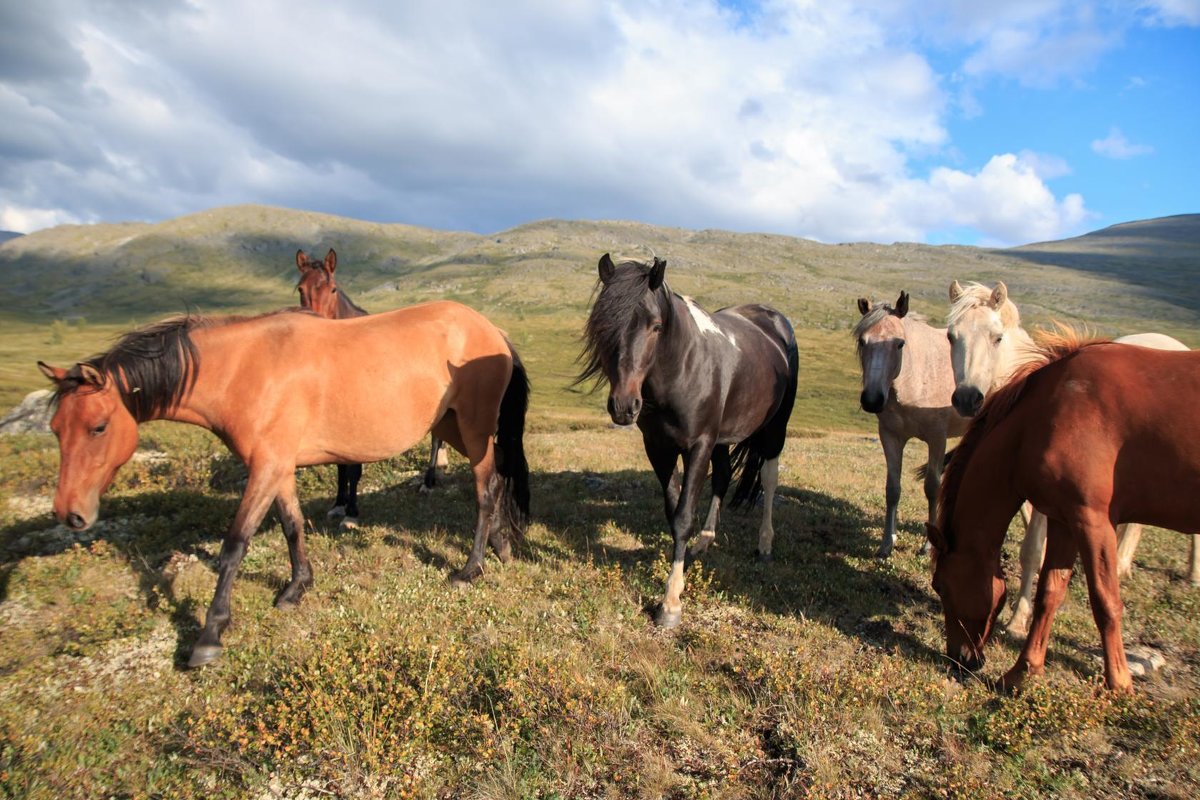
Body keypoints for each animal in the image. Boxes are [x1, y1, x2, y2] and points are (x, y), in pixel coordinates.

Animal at [39, 304, 528, 671]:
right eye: (56, 428)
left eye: (98, 426)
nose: (70, 513)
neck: (244, 370)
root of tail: (493, 331)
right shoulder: (279, 467)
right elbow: (292, 524)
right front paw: (297, 587)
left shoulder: (265, 467)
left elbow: (234, 545)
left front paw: (210, 633)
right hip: (453, 428)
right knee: (499, 480)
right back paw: (502, 546)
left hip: (473, 428)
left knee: (486, 490)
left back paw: (471, 568)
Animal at [296, 248, 451, 525]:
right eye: (300, 289)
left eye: (333, 289)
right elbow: (341, 465)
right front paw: (338, 504)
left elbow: (353, 469)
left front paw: (351, 512)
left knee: (436, 438)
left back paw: (429, 481)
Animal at [578, 253, 796, 628]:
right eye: (603, 323)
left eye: (655, 326)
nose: (624, 406)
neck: (683, 369)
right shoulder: (659, 448)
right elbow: (674, 510)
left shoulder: (699, 446)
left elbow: (682, 517)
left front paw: (670, 603)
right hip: (722, 440)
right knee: (723, 477)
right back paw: (704, 542)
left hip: (774, 428)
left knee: (769, 479)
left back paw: (765, 545)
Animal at [926, 331, 1200, 695]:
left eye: (939, 585)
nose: (959, 658)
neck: (1043, 416)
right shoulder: (1064, 521)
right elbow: (1049, 594)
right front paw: (1022, 672)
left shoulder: (1093, 521)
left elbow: (1105, 601)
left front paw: (1119, 683)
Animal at [940, 281, 1195, 638]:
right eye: (951, 336)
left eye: (997, 337)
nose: (967, 398)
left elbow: (1031, 550)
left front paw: (1018, 620)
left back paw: (1185, 574)